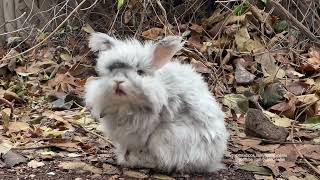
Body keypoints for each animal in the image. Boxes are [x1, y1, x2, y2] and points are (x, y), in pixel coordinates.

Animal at [84, 32, 229, 173]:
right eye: (111, 71)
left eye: (140, 72)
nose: (118, 81)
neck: (126, 105)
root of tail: (213, 160)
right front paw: (123, 158)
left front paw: (129, 160)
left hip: (166, 138)